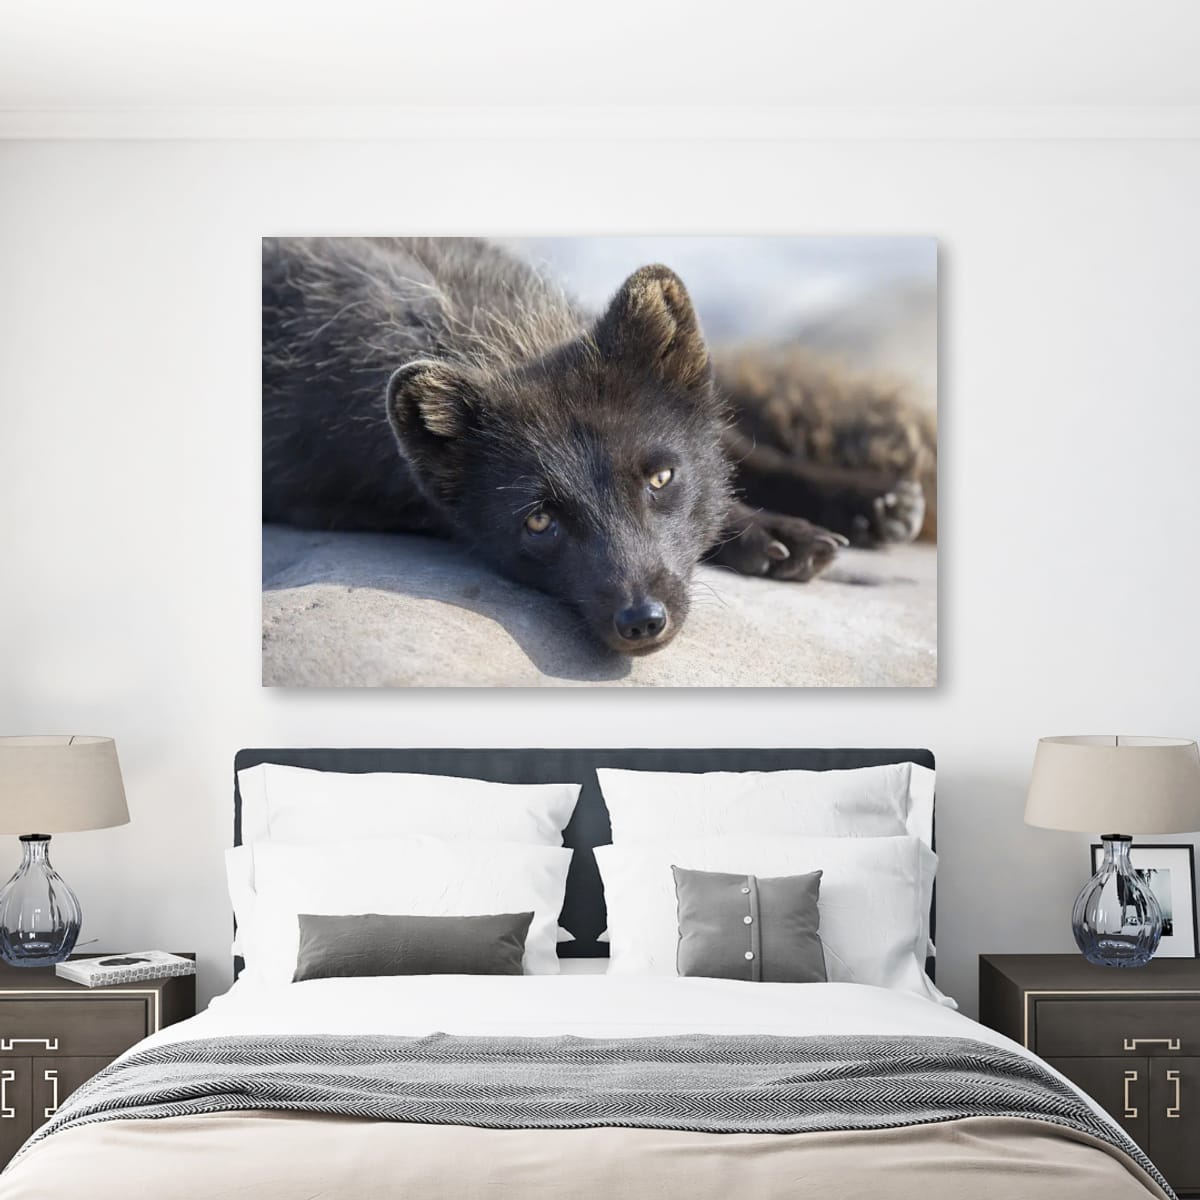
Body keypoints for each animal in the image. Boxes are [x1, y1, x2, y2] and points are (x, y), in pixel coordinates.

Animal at [262, 238, 932, 655]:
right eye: (538, 521)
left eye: (660, 479)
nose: (642, 622)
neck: (491, 329)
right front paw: (772, 535)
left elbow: (739, 453)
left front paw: (869, 501)